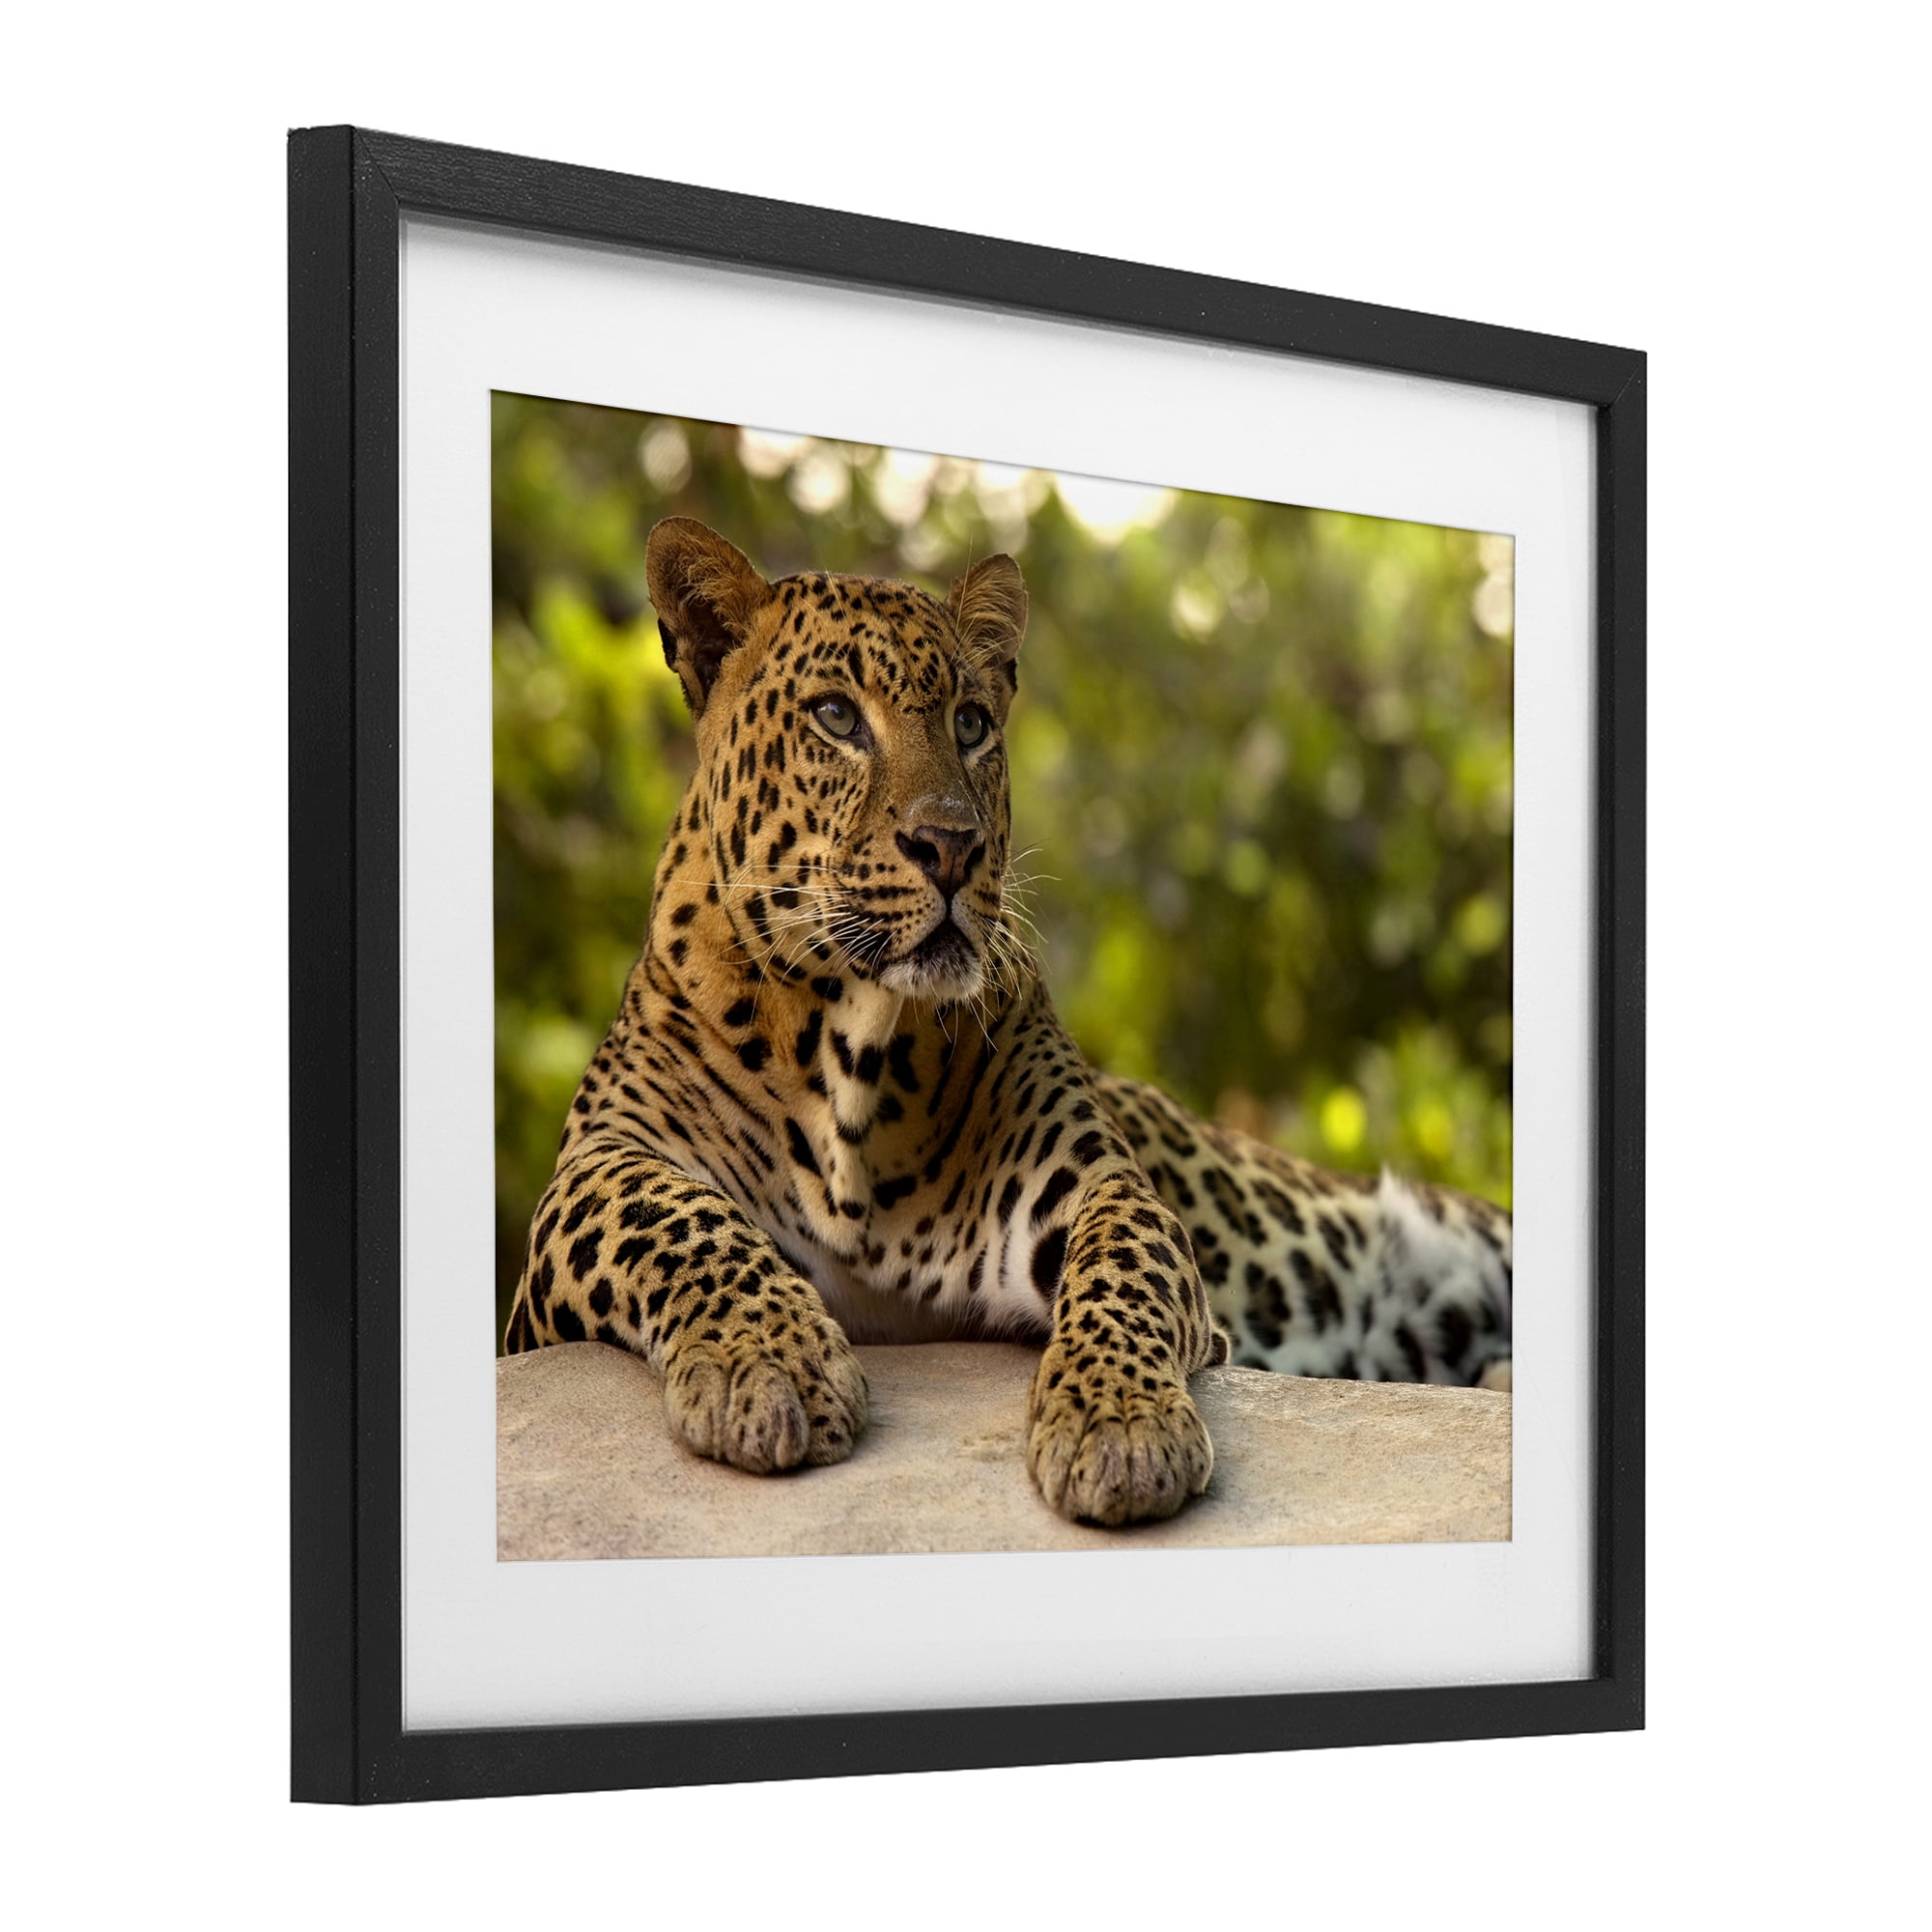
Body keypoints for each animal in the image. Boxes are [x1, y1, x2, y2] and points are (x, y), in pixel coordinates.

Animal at [504, 516, 1512, 1526]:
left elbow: (1124, 1264)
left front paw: (1120, 1424)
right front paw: (769, 1362)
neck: (852, 1048)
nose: (952, 846)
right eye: (836, 717)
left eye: (971, 723)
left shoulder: (1094, 1182)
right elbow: (674, 1218)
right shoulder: (590, 1176)